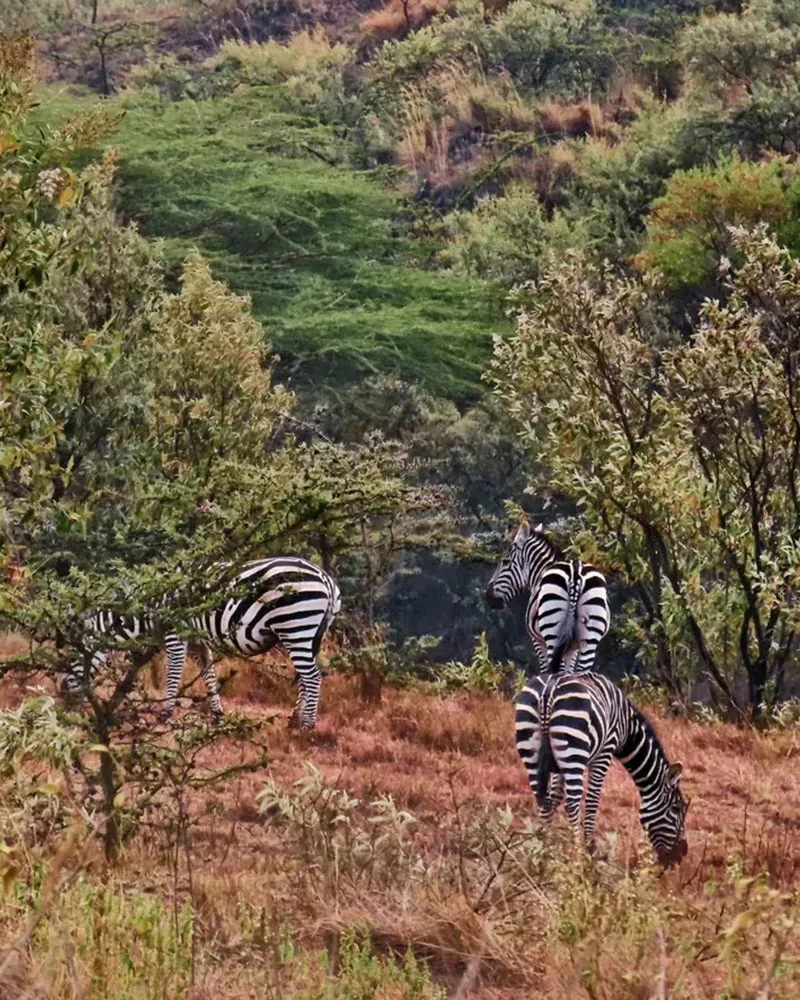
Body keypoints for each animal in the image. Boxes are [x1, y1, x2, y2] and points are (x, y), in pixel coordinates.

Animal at [61, 556, 341, 730]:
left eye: (75, 654)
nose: (63, 693)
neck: (150, 607)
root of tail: (324, 576)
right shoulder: (198, 638)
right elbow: (208, 673)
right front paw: (217, 714)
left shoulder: (175, 632)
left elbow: (174, 673)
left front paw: (165, 713)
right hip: (306, 632)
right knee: (306, 675)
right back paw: (294, 719)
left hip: (295, 625)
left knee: (312, 676)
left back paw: (307, 726)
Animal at [485, 519, 610, 675]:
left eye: (505, 562)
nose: (488, 596)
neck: (541, 571)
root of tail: (575, 573)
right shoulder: (573, 648)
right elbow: (570, 671)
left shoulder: (538, 641)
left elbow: (545, 670)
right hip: (589, 637)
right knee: (582, 671)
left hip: (553, 634)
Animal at [516, 671, 689, 866]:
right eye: (676, 809)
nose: (681, 855)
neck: (627, 726)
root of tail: (548, 690)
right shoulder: (605, 752)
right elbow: (592, 801)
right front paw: (590, 850)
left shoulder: (558, 767)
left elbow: (553, 798)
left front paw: (550, 847)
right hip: (574, 749)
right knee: (572, 802)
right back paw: (578, 857)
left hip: (530, 748)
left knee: (541, 798)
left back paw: (541, 851)